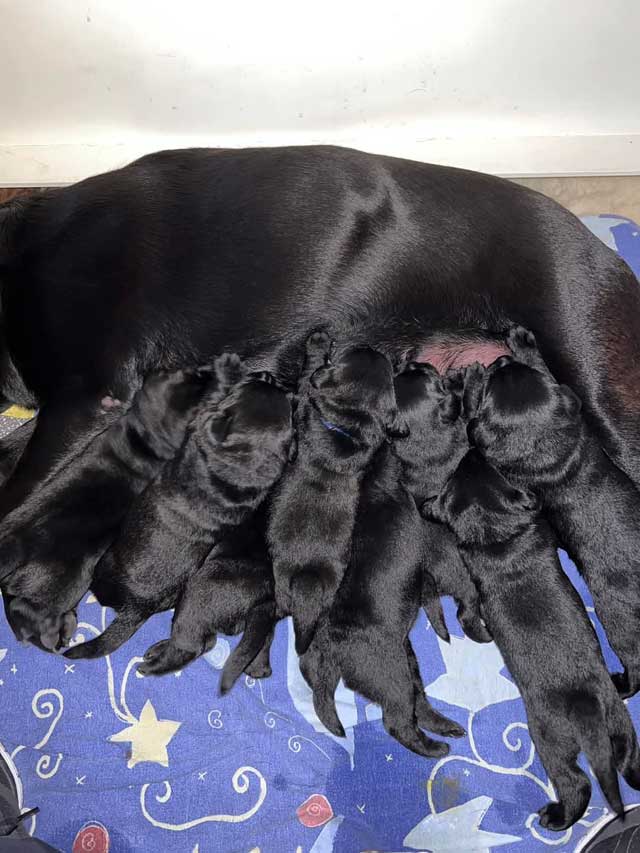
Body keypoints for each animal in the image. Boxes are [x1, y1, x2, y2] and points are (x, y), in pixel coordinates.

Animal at [66, 362, 293, 668]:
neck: (243, 465)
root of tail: (139, 607)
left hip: (114, 573)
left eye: (243, 390)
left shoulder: (198, 427)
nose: (267, 374)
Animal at [266, 332, 407, 655]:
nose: (368, 345)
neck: (348, 425)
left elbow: (307, 379)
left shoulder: (305, 406)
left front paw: (318, 342)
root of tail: (306, 580)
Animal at [392, 361, 490, 643]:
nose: (414, 361)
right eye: (429, 374)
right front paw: (470, 377)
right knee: (466, 614)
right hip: (471, 588)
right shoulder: (467, 428)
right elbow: (468, 407)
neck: (424, 440)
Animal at [424, 448, 640, 831]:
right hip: (620, 722)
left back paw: (556, 816)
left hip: (548, 738)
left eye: (463, 469)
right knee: (627, 759)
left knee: (576, 782)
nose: (472, 452)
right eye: (480, 467)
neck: (497, 536)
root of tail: (586, 709)